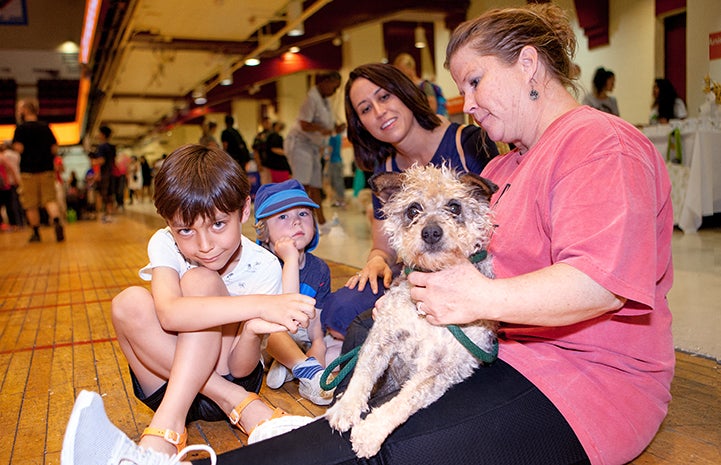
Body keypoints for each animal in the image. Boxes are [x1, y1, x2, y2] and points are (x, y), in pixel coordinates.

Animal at [328, 164, 500, 456]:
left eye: (454, 207)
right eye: (413, 210)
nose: (430, 232)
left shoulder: (442, 368)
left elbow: (406, 400)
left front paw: (371, 433)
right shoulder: (383, 335)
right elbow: (362, 373)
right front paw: (345, 407)